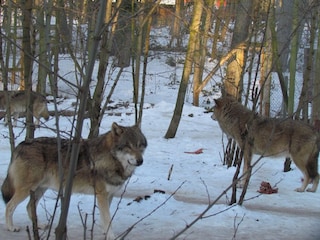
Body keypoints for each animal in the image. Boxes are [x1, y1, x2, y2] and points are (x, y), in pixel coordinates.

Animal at [1, 123, 148, 239]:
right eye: (128, 146)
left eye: (139, 145)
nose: (140, 161)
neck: (111, 160)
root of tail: (21, 145)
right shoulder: (101, 195)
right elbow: (107, 218)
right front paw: (111, 236)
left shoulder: (109, 195)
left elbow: (105, 218)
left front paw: (105, 233)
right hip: (27, 189)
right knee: (9, 205)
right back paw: (11, 227)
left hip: (40, 189)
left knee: (28, 207)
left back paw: (40, 226)